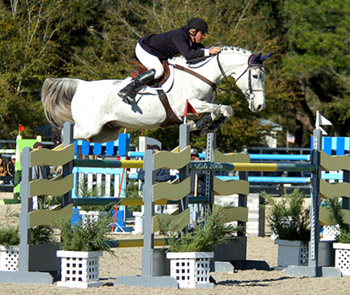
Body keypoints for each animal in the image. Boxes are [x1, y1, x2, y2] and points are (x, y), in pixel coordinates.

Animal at [40, 46, 270, 143]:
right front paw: (207, 123)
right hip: (88, 128)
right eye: (256, 75)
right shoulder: (185, 105)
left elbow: (221, 111)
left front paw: (203, 126)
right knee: (62, 133)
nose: (260, 106)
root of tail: (81, 86)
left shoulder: (192, 109)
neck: (200, 74)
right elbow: (220, 108)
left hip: (105, 133)